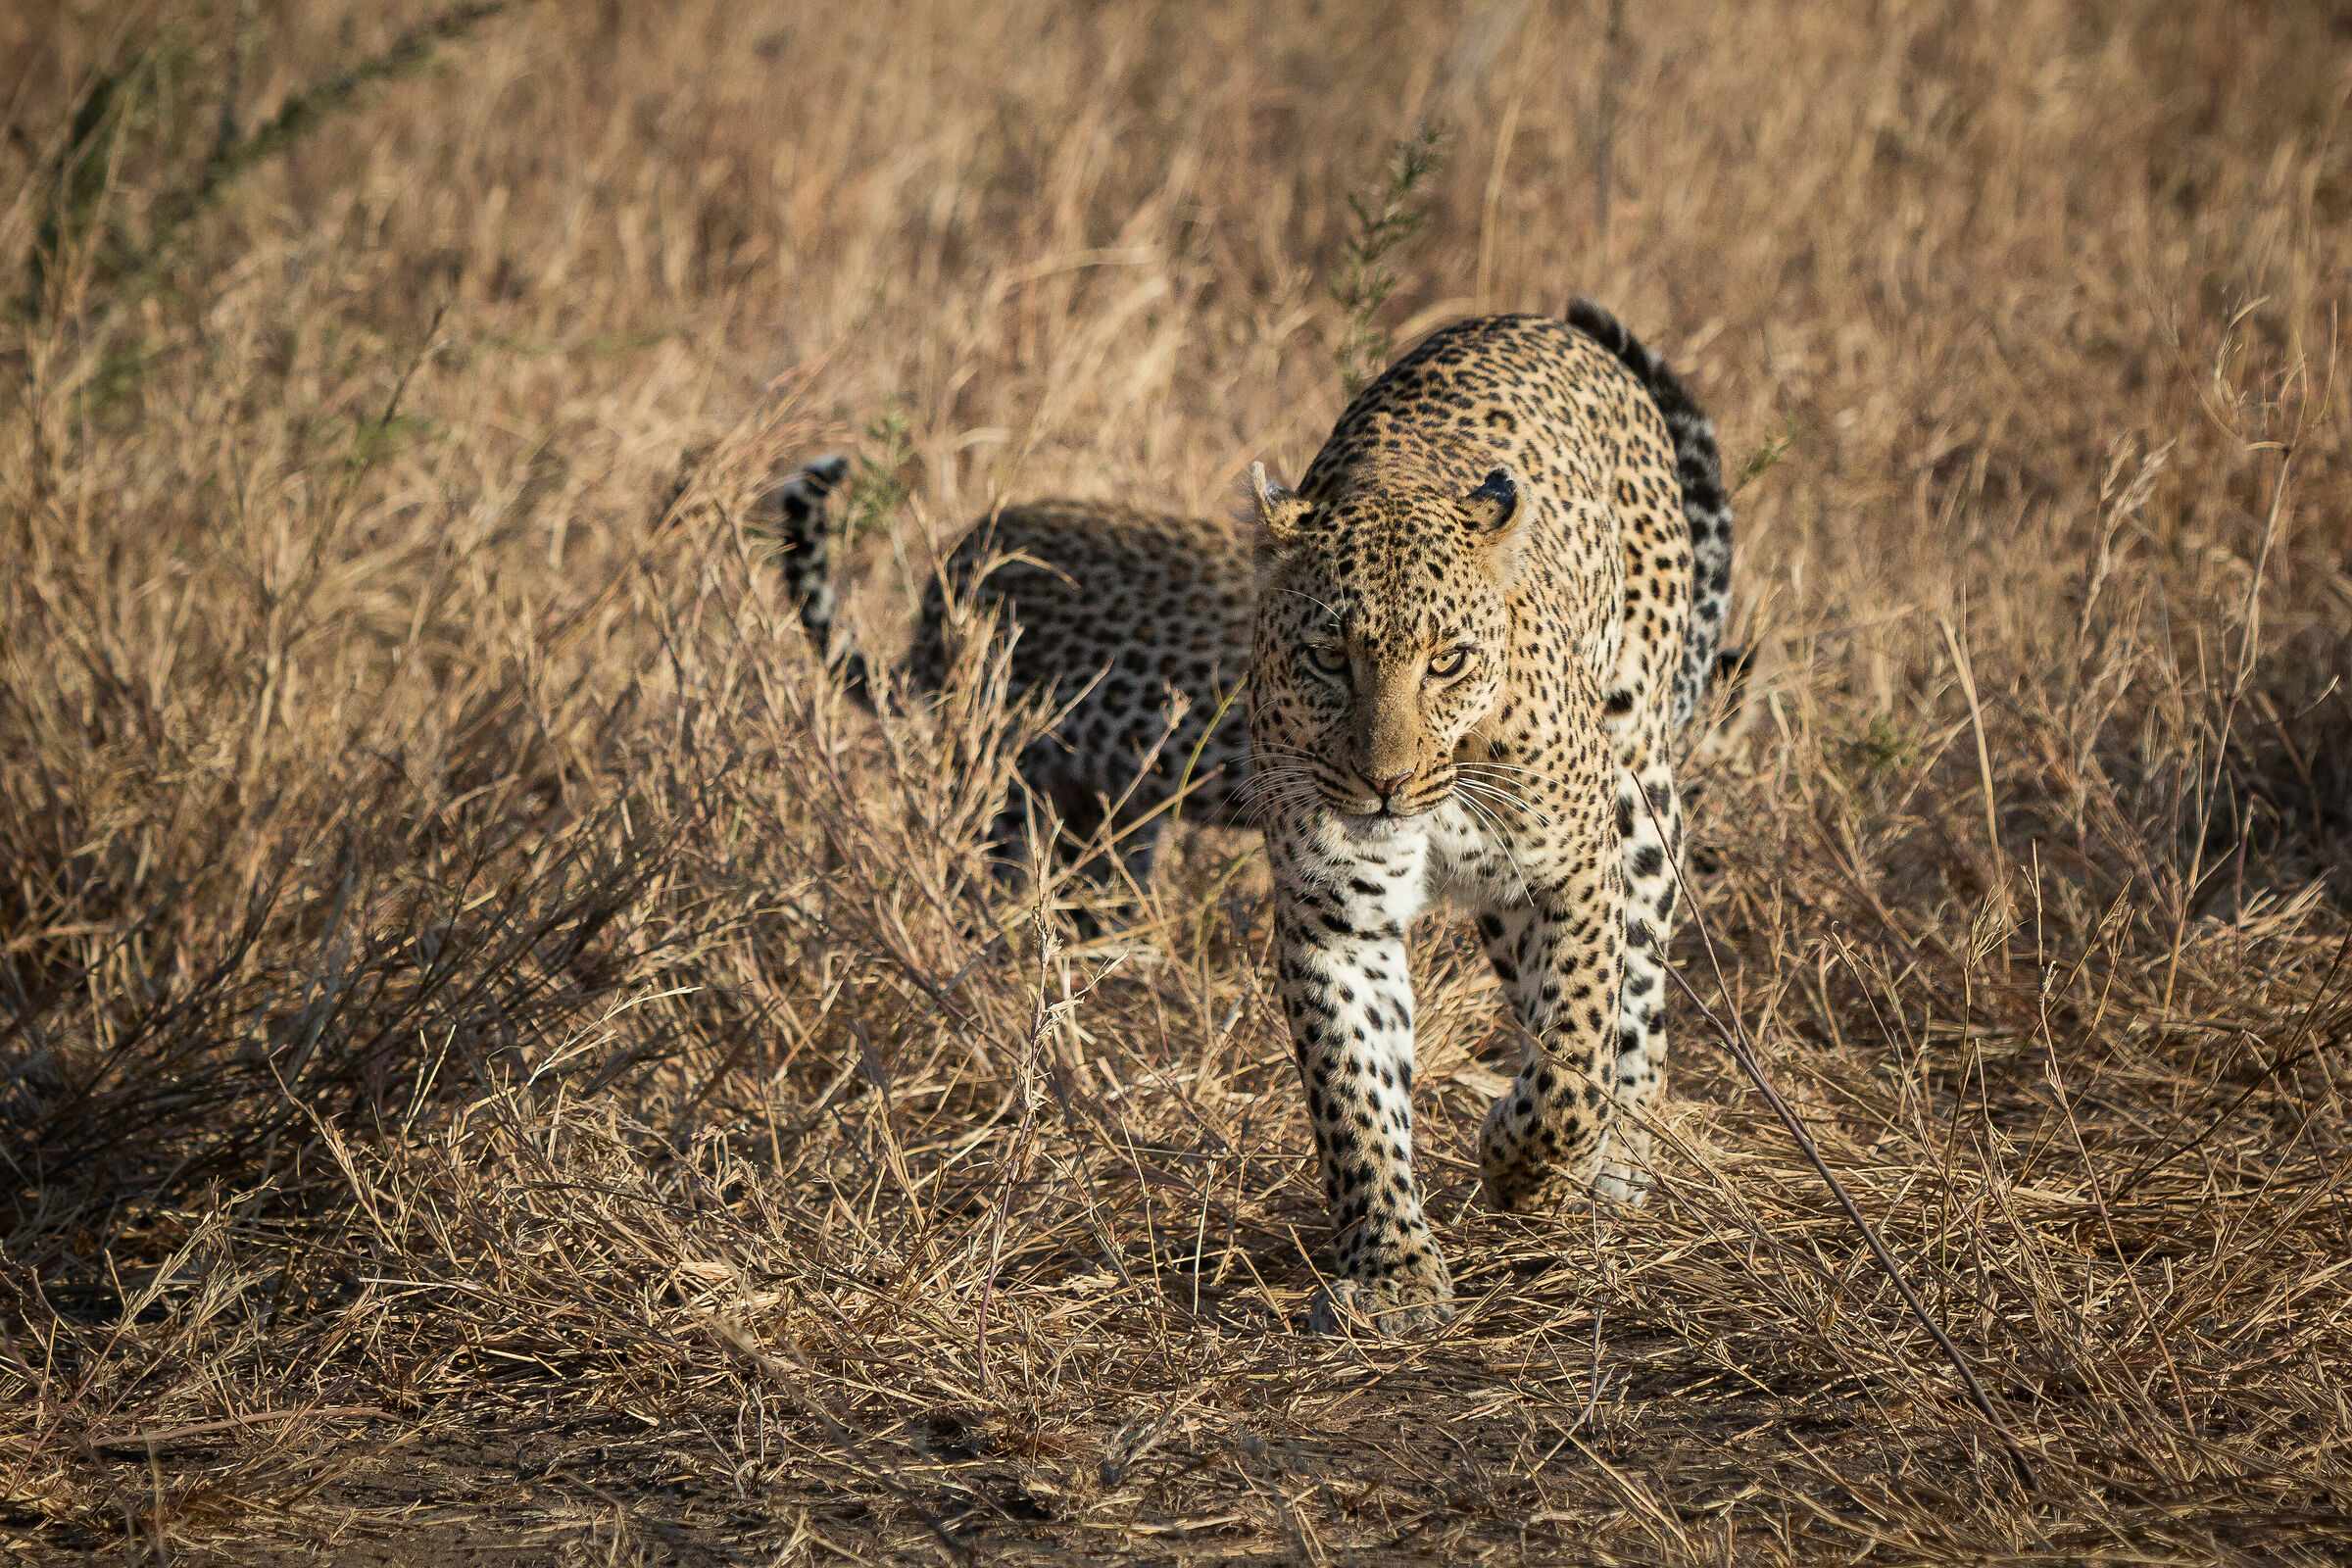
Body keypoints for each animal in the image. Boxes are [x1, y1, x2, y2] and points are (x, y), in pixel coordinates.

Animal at [1245, 301, 1732, 1335]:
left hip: (1640, 791)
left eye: (1449, 660)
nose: (1383, 783)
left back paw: (1621, 1163)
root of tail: (1542, 320)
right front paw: (1392, 1272)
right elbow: (1355, 1094)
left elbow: (1574, 1048)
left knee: (1636, 1003)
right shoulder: (1334, 917)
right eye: (1327, 657)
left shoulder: (1575, 867)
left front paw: (1525, 1168)